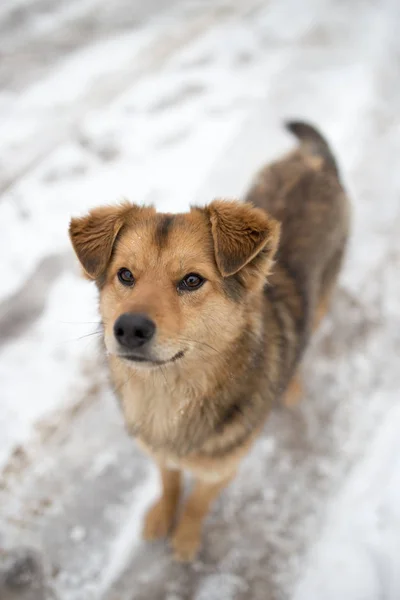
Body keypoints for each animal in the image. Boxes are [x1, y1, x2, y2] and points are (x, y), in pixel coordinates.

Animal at [69, 122, 350, 564]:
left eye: (192, 280)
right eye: (125, 275)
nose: (128, 328)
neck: (173, 394)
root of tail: (314, 162)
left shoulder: (221, 470)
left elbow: (198, 503)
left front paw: (185, 538)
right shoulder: (160, 455)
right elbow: (169, 483)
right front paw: (162, 516)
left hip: (324, 294)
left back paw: (292, 385)